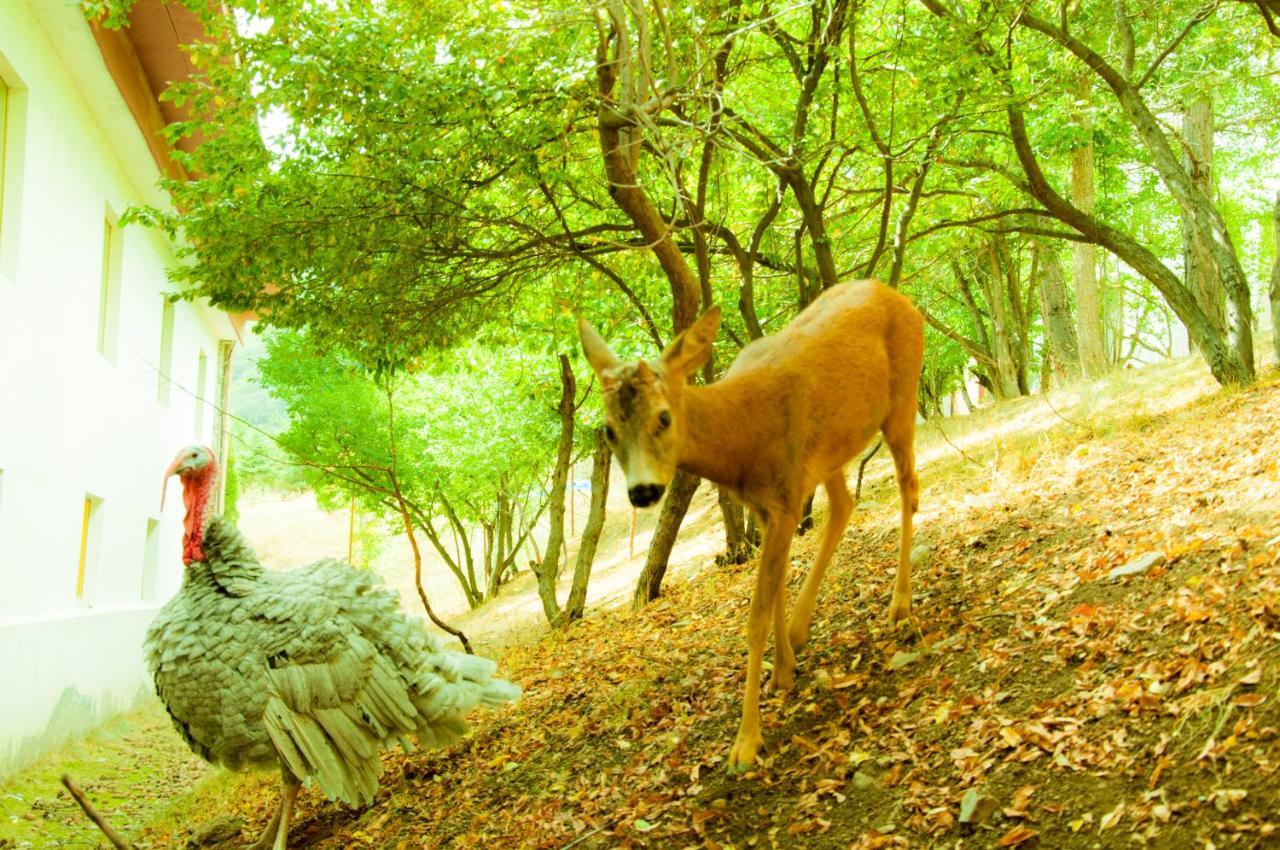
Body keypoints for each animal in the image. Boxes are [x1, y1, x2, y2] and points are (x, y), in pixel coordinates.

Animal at [578, 279, 921, 768]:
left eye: (664, 417)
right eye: (609, 430)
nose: (643, 491)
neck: (742, 437)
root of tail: (897, 296)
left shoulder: (783, 497)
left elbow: (755, 617)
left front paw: (746, 742)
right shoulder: (769, 502)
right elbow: (775, 588)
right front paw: (783, 670)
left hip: (902, 399)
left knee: (908, 486)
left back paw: (899, 604)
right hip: (829, 451)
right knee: (843, 505)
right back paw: (800, 631)